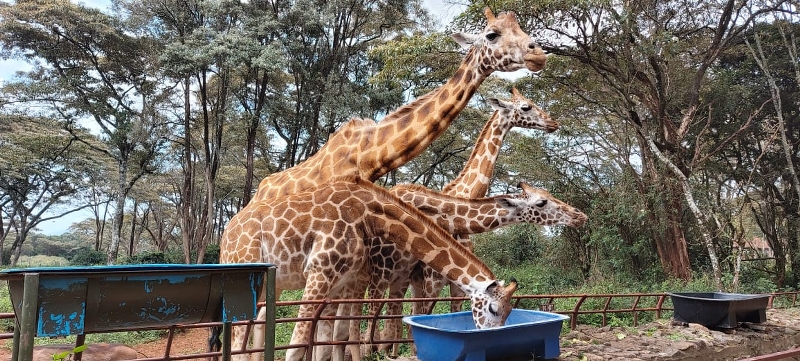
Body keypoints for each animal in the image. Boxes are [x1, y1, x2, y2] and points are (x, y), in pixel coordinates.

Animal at [219, 176, 520, 360]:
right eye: (494, 309)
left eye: (509, 314)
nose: (493, 342)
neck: (368, 214)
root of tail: (226, 233)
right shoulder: (320, 272)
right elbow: (297, 347)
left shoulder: (337, 282)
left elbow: (324, 344)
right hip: (243, 273)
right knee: (236, 338)